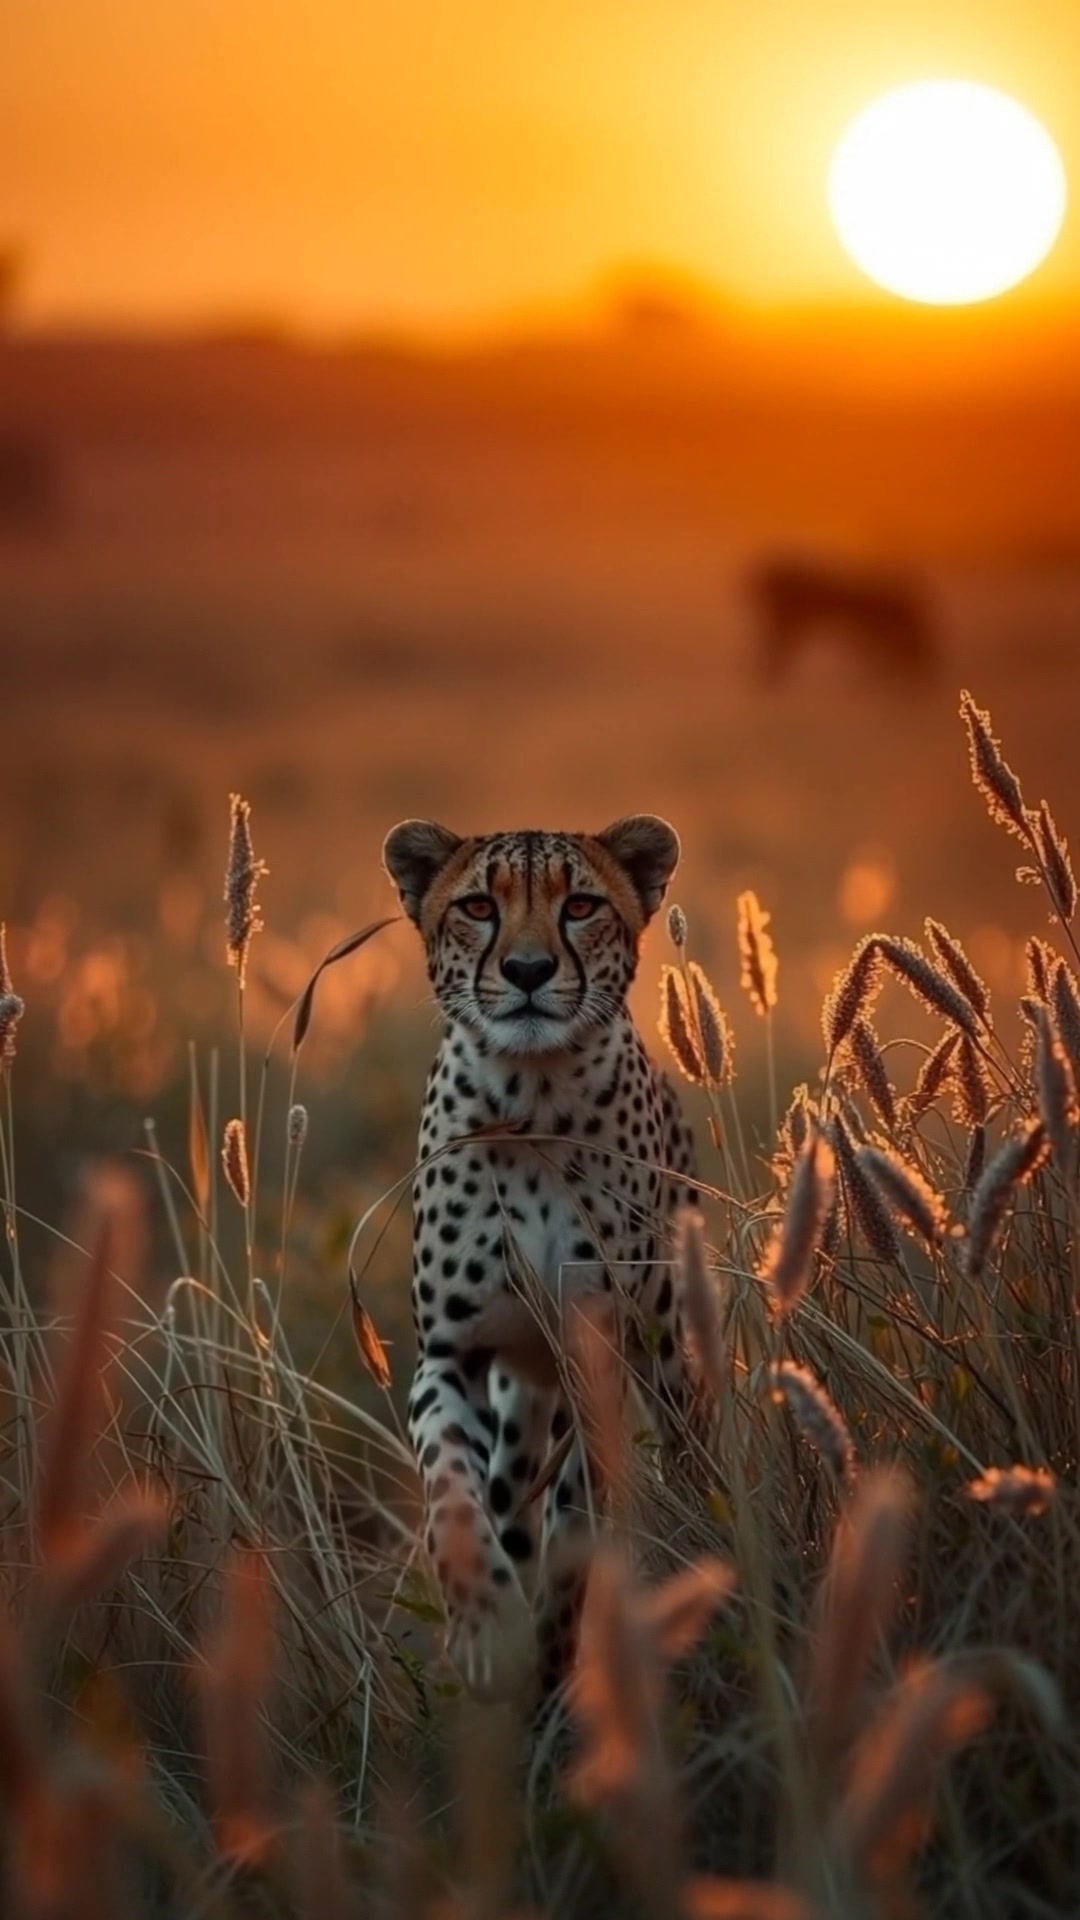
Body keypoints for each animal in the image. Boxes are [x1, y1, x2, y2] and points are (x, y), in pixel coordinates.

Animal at [382, 813, 700, 1705]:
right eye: (479, 906)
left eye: (582, 905)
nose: (528, 971)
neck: (532, 1099)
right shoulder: (449, 1355)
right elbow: (452, 1490)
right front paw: (485, 1623)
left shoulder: (599, 1362)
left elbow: (572, 1547)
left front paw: (550, 1671)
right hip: (522, 1401)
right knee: (506, 1496)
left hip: (667, 1361)